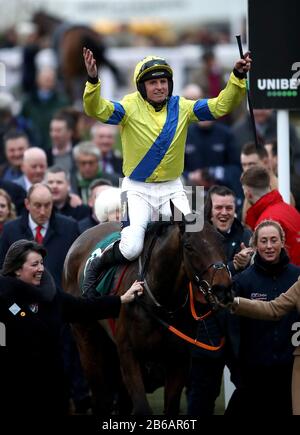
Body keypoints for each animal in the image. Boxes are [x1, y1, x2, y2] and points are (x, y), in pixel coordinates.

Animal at [62, 217, 232, 416]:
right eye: (189, 246)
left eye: (222, 240)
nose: (223, 289)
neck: (162, 303)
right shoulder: (129, 355)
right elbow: (142, 408)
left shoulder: (179, 360)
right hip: (87, 340)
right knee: (101, 399)